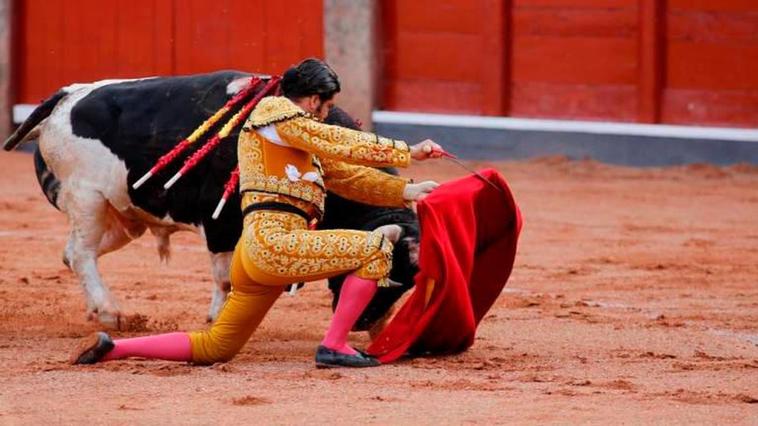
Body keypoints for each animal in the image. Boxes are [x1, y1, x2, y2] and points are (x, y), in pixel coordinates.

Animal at [2, 70, 418, 330]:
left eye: (408, 284)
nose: (365, 325)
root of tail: (65, 96)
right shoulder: (220, 223)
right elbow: (225, 277)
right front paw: (219, 319)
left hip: (123, 214)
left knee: (72, 252)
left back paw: (97, 309)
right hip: (87, 198)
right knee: (82, 253)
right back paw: (110, 313)